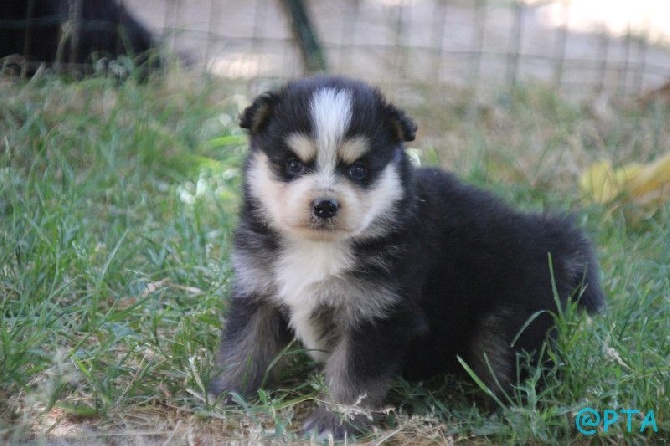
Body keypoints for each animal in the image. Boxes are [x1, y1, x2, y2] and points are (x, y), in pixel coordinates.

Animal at [211, 75, 608, 438]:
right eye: (293, 165)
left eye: (359, 170)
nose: (325, 205)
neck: (319, 247)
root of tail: (548, 239)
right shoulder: (258, 291)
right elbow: (244, 348)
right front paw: (223, 396)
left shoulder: (378, 315)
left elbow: (353, 378)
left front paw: (334, 423)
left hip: (508, 326)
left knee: (514, 371)